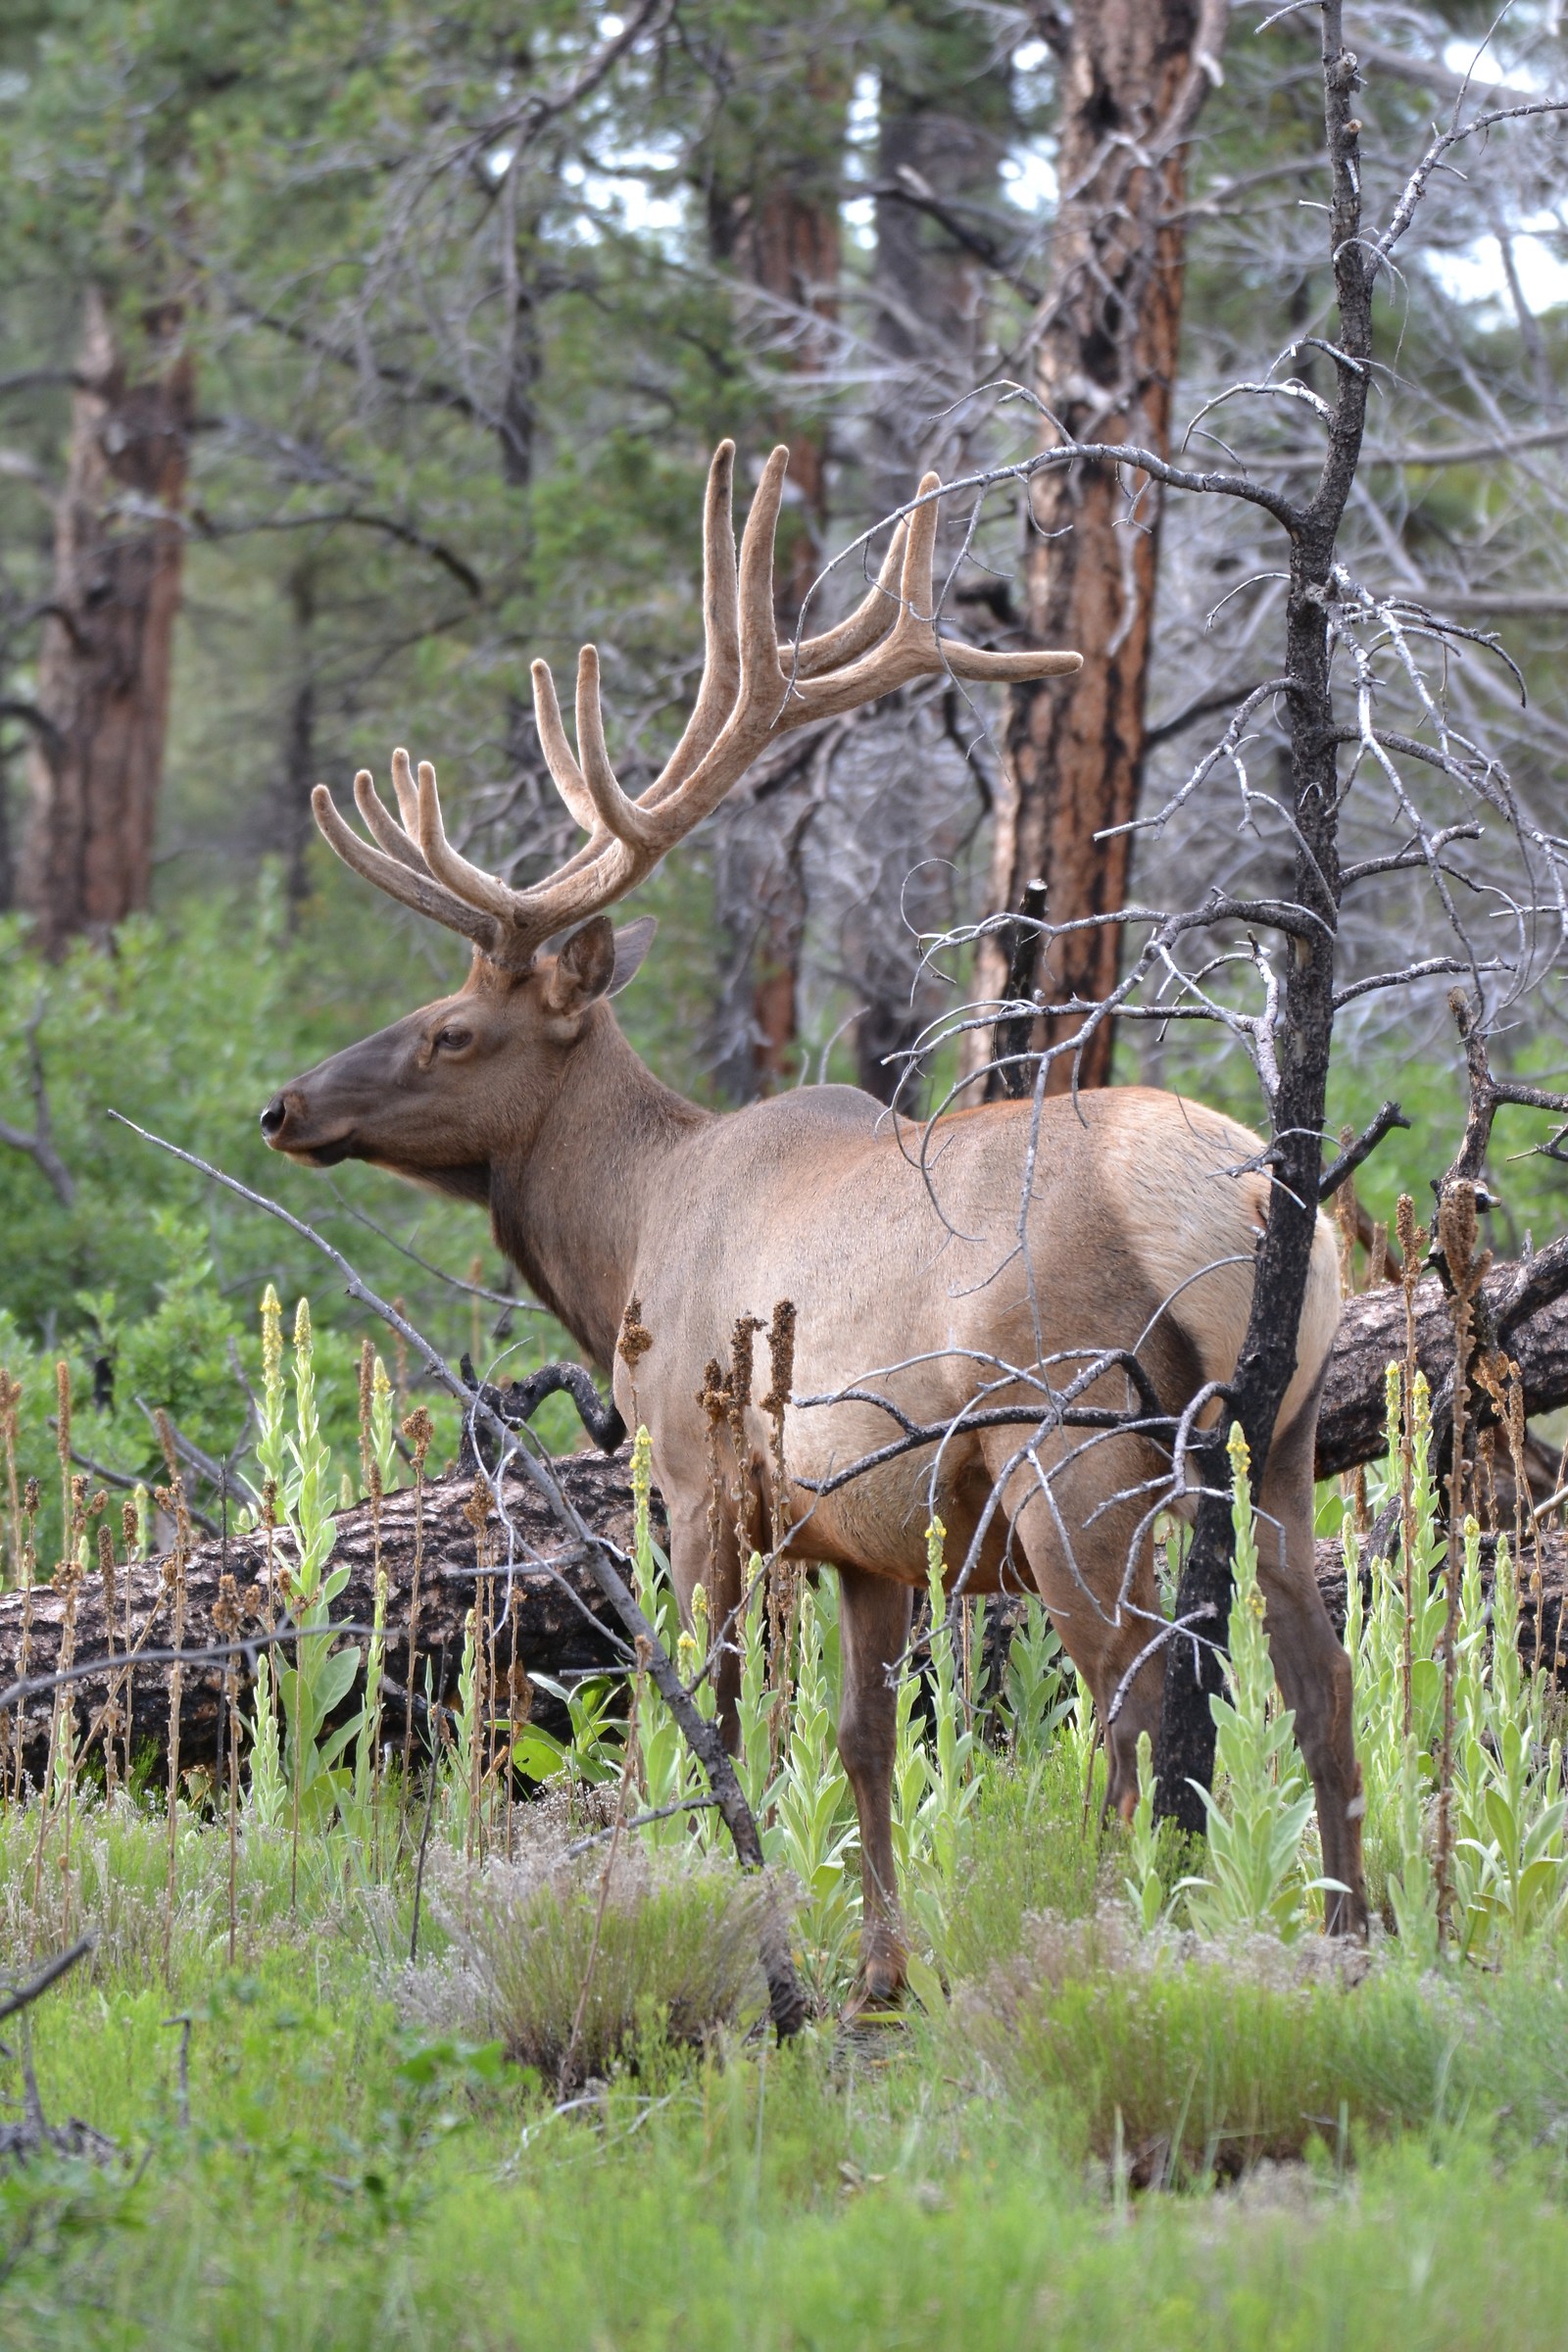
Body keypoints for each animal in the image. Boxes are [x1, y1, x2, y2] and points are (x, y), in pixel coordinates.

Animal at [261, 441, 1366, 1997]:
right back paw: (1360, 1938)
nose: (286, 1106)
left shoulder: (696, 1467)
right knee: (1319, 1679)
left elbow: (705, 1715)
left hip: (1071, 1439)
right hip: (1288, 1430)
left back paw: (1109, 1926)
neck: (625, 1241)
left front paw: (703, 1910)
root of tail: (1230, 1211)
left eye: (451, 1032)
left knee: (1134, 1693)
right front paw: (881, 1969)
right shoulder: (868, 1536)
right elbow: (857, 1747)